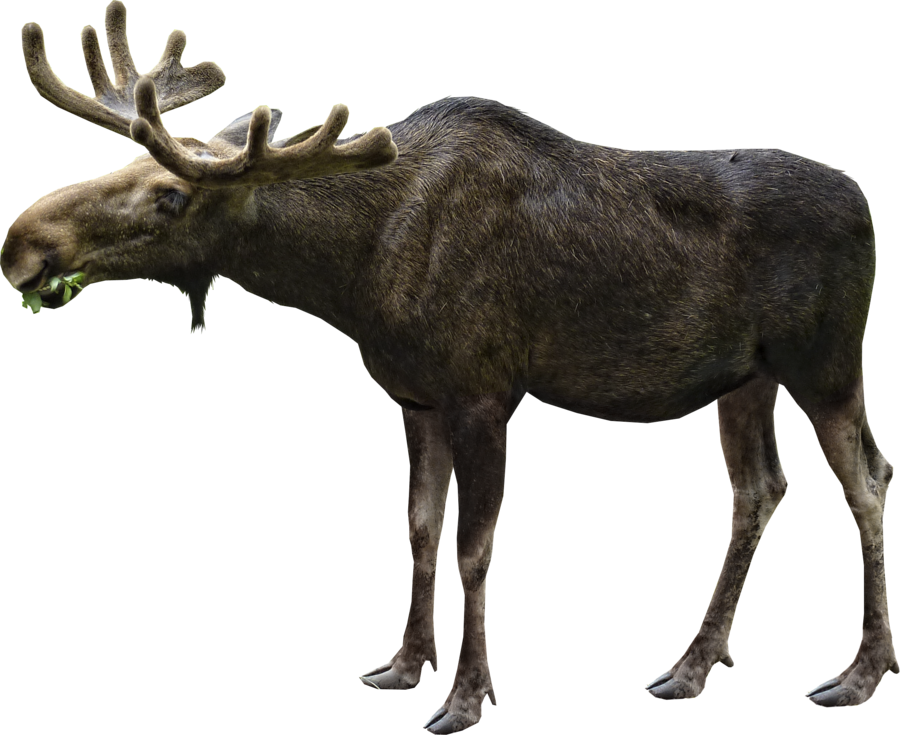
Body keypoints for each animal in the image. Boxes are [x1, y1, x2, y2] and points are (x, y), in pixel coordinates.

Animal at [2, 1, 896, 731]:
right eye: (126, 168)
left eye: (172, 196)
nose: (21, 245)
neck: (353, 275)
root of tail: (866, 207)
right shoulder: (415, 397)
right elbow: (419, 527)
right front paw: (402, 664)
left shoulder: (484, 392)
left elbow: (474, 548)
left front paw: (466, 696)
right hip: (745, 378)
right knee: (761, 487)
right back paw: (692, 664)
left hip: (825, 359)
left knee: (868, 476)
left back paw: (860, 673)